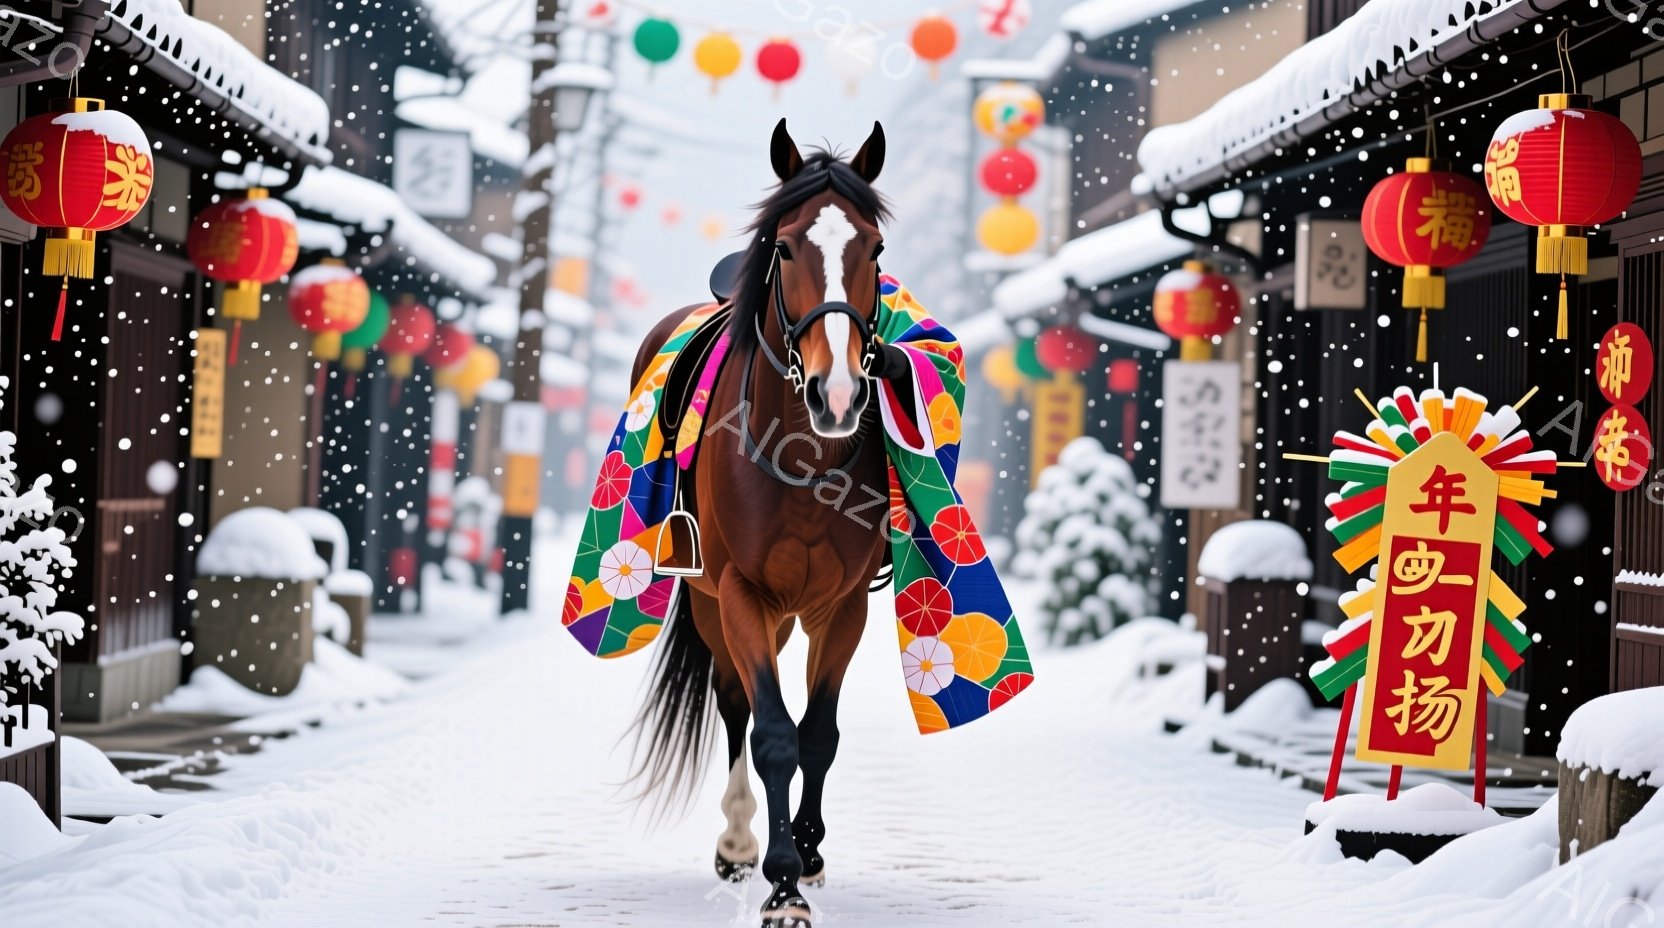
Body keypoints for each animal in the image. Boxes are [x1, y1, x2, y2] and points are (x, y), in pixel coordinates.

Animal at [627, 119, 895, 928]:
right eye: (785, 248)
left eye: (875, 250)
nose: (836, 394)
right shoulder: (742, 593)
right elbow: (774, 732)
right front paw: (781, 881)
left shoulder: (841, 607)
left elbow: (819, 735)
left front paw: (806, 852)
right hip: (716, 604)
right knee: (736, 705)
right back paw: (739, 841)